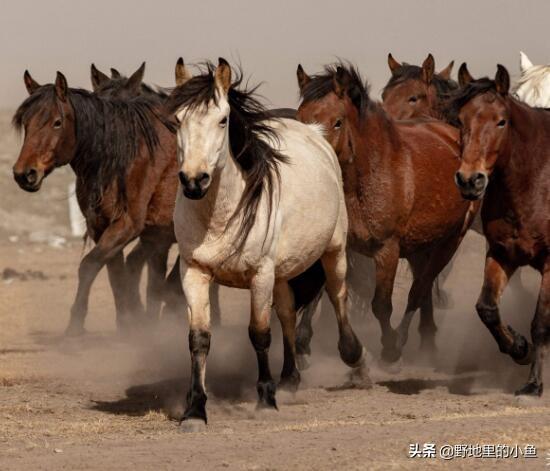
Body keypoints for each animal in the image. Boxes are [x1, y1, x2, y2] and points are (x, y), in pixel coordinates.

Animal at [12, 70, 179, 336]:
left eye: (57, 122)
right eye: (26, 123)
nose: (24, 174)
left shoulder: (127, 224)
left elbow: (89, 265)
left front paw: (75, 326)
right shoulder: (102, 226)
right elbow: (115, 271)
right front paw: (128, 324)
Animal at [166, 59, 368, 432]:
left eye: (222, 119)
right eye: (177, 120)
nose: (194, 180)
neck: (220, 216)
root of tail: (315, 134)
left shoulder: (260, 273)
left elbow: (259, 334)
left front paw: (264, 400)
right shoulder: (194, 271)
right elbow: (199, 339)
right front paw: (195, 410)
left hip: (333, 252)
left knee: (338, 295)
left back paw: (356, 361)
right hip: (284, 270)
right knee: (287, 313)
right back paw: (289, 379)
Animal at [298, 62, 478, 364]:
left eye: (337, 122)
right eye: (300, 120)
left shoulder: (387, 249)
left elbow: (381, 304)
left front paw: (390, 348)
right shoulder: (338, 245)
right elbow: (324, 293)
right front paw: (309, 344)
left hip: (449, 241)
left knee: (420, 288)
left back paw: (410, 342)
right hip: (420, 246)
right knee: (423, 288)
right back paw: (426, 340)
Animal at [448, 62, 550, 394]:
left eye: (501, 121)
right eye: (461, 120)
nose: (470, 180)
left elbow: (540, 323)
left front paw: (533, 385)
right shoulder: (501, 253)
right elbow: (487, 309)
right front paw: (518, 347)